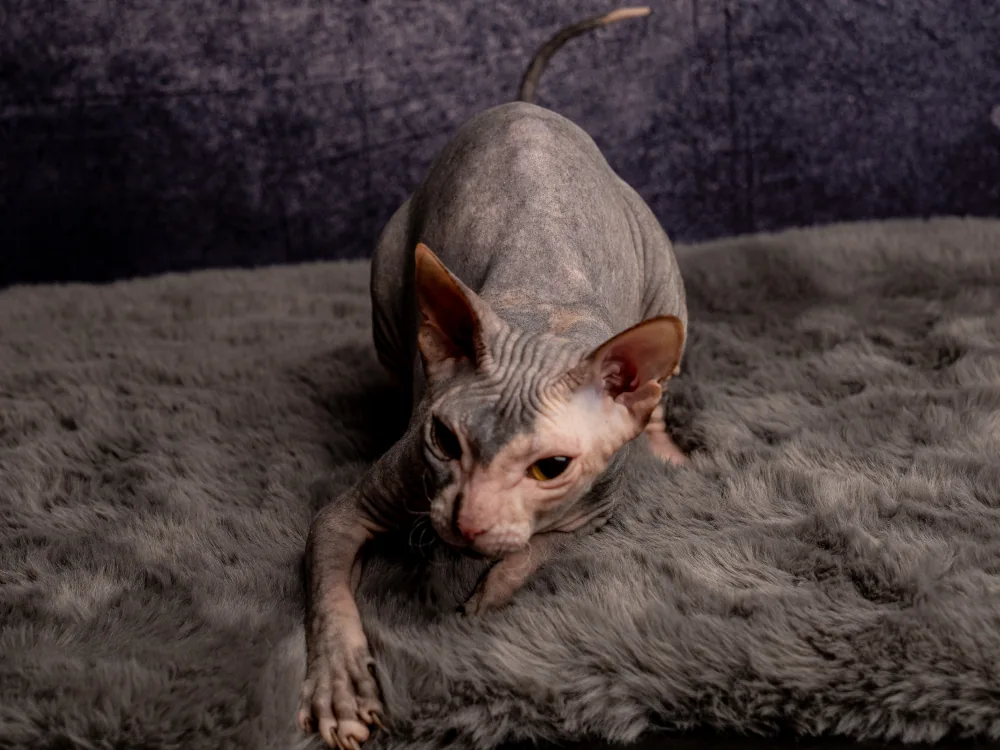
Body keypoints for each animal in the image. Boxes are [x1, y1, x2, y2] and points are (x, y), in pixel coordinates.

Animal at [298, 8, 688, 749]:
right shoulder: (380, 491)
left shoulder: (600, 507)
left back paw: (666, 445)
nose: (466, 523)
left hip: (664, 275)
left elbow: (534, 555)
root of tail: (526, 108)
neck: (542, 313)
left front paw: (485, 604)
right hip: (390, 270)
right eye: (445, 441)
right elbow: (330, 576)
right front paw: (341, 687)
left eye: (550, 467)